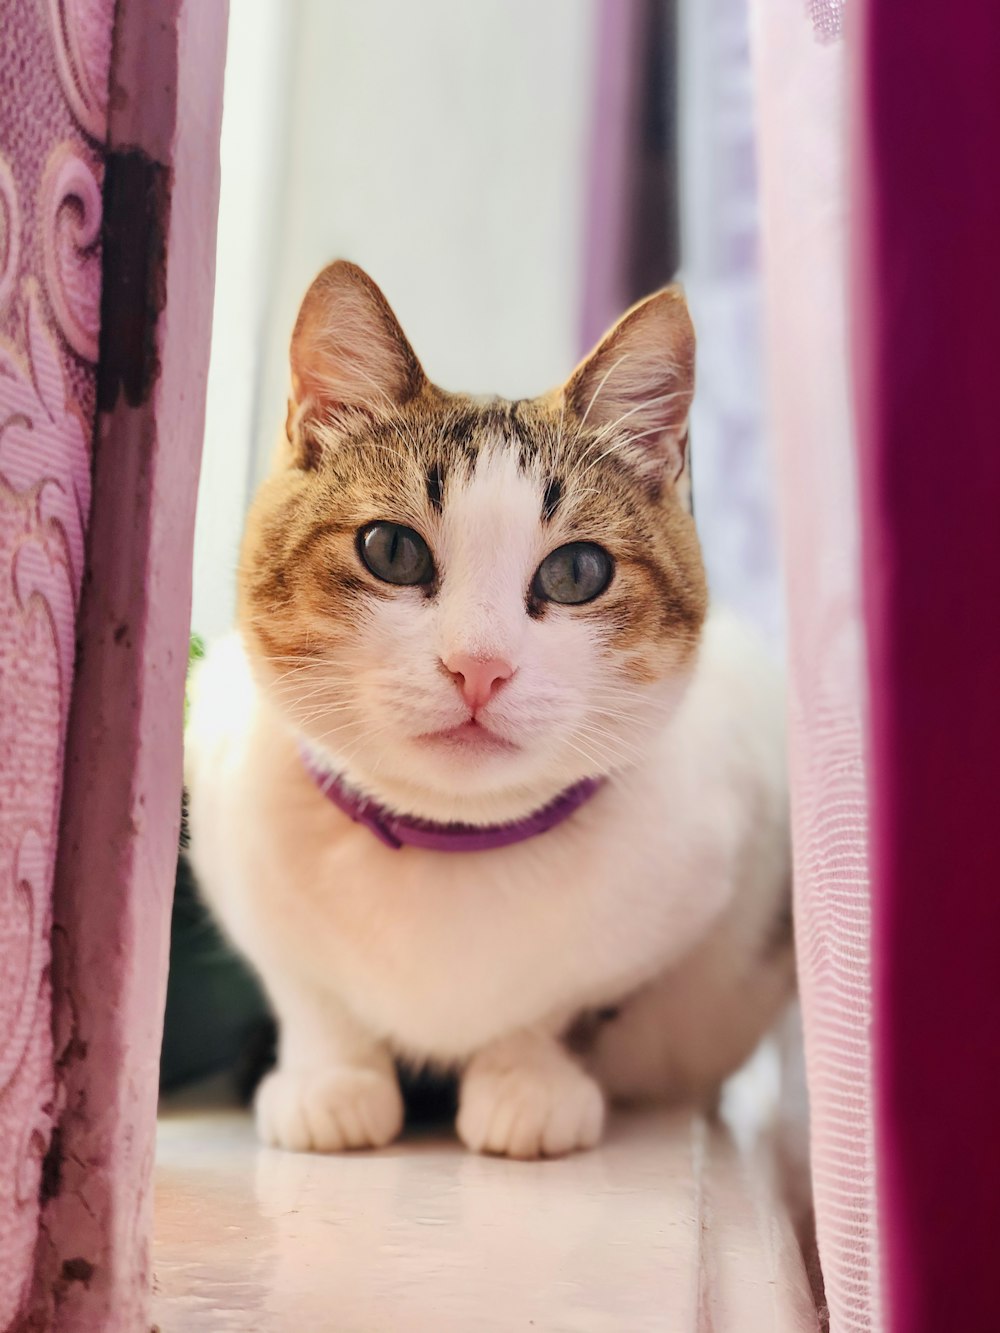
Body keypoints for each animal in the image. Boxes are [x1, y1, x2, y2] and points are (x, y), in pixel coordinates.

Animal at [184, 259, 794, 1157]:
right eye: (391, 550)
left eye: (577, 572)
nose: (480, 666)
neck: (453, 844)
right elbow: (309, 992)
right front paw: (331, 1080)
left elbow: (567, 1003)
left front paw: (527, 1080)